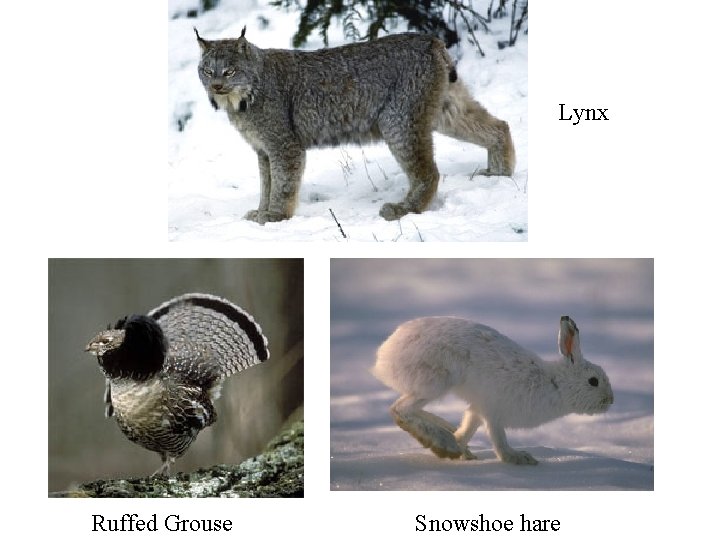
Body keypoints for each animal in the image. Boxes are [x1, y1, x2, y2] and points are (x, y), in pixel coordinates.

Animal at [372, 315, 613, 464]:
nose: (610, 400)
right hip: (436, 381)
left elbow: (468, 428)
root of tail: (385, 354)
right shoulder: (494, 412)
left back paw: (447, 437)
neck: (554, 383)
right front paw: (518, 458)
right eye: (593, 381)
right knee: (400, 409)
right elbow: (499, 440)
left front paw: (462, 450)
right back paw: (442, 443)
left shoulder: (478, 409)